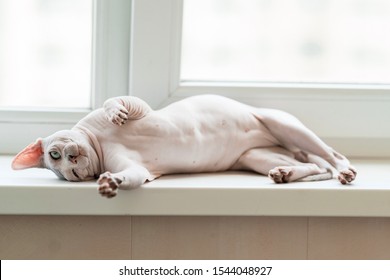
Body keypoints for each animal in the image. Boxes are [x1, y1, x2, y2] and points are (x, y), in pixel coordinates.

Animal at [11, 95, 356, 198]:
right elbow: (130, 176)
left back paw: (345, 171)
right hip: (256, 156)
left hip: (282, 124)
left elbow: (114, 102)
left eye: (55, 154)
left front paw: (115, 113)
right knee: (312, 165)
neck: (100, 143)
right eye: (61, 168)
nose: (73, 166)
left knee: (331, 156)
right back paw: (284, 173)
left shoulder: (139, 107)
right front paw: (111, 183)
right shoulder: (137, 169)